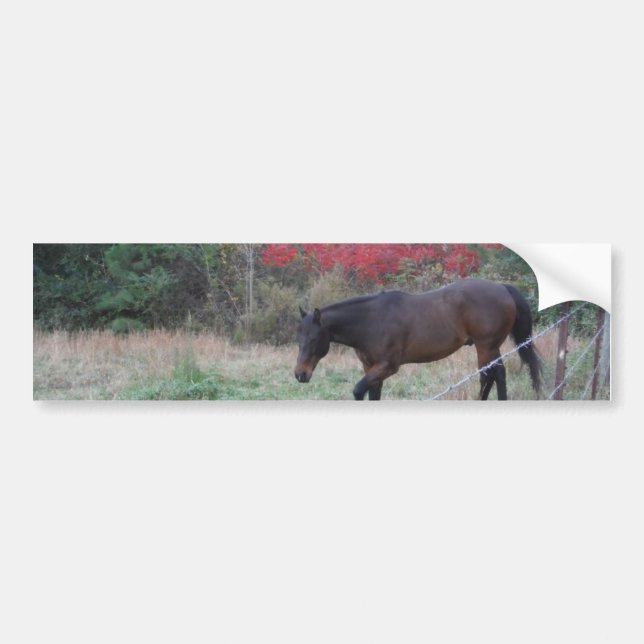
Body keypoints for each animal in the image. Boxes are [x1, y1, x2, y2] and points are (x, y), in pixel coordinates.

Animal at [294, 278, 542, 400]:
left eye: (314, 338)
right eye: (299, 339)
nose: (300, 374)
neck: (372, 321)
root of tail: (502, 288)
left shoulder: (388, 366)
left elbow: (358, 391)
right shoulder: (371, 367)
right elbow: (372, 394)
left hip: (486, 346)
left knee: (493, 374)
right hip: (489, 347)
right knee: (492, 375)